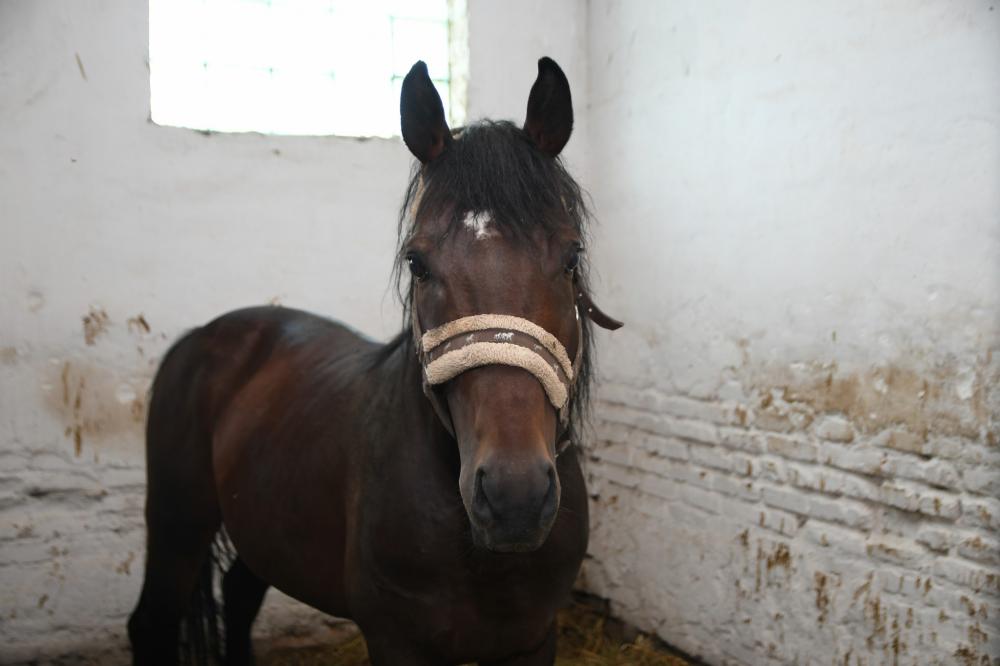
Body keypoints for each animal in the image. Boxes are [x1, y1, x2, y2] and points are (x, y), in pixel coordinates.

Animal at [127, 57, 621, 666]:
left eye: (572, 256)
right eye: (417, 263)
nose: (515, 495)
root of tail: (202, 337)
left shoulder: (532, 640)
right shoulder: (395, 640)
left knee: (239, 595)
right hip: (177, 522)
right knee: (152, 622)